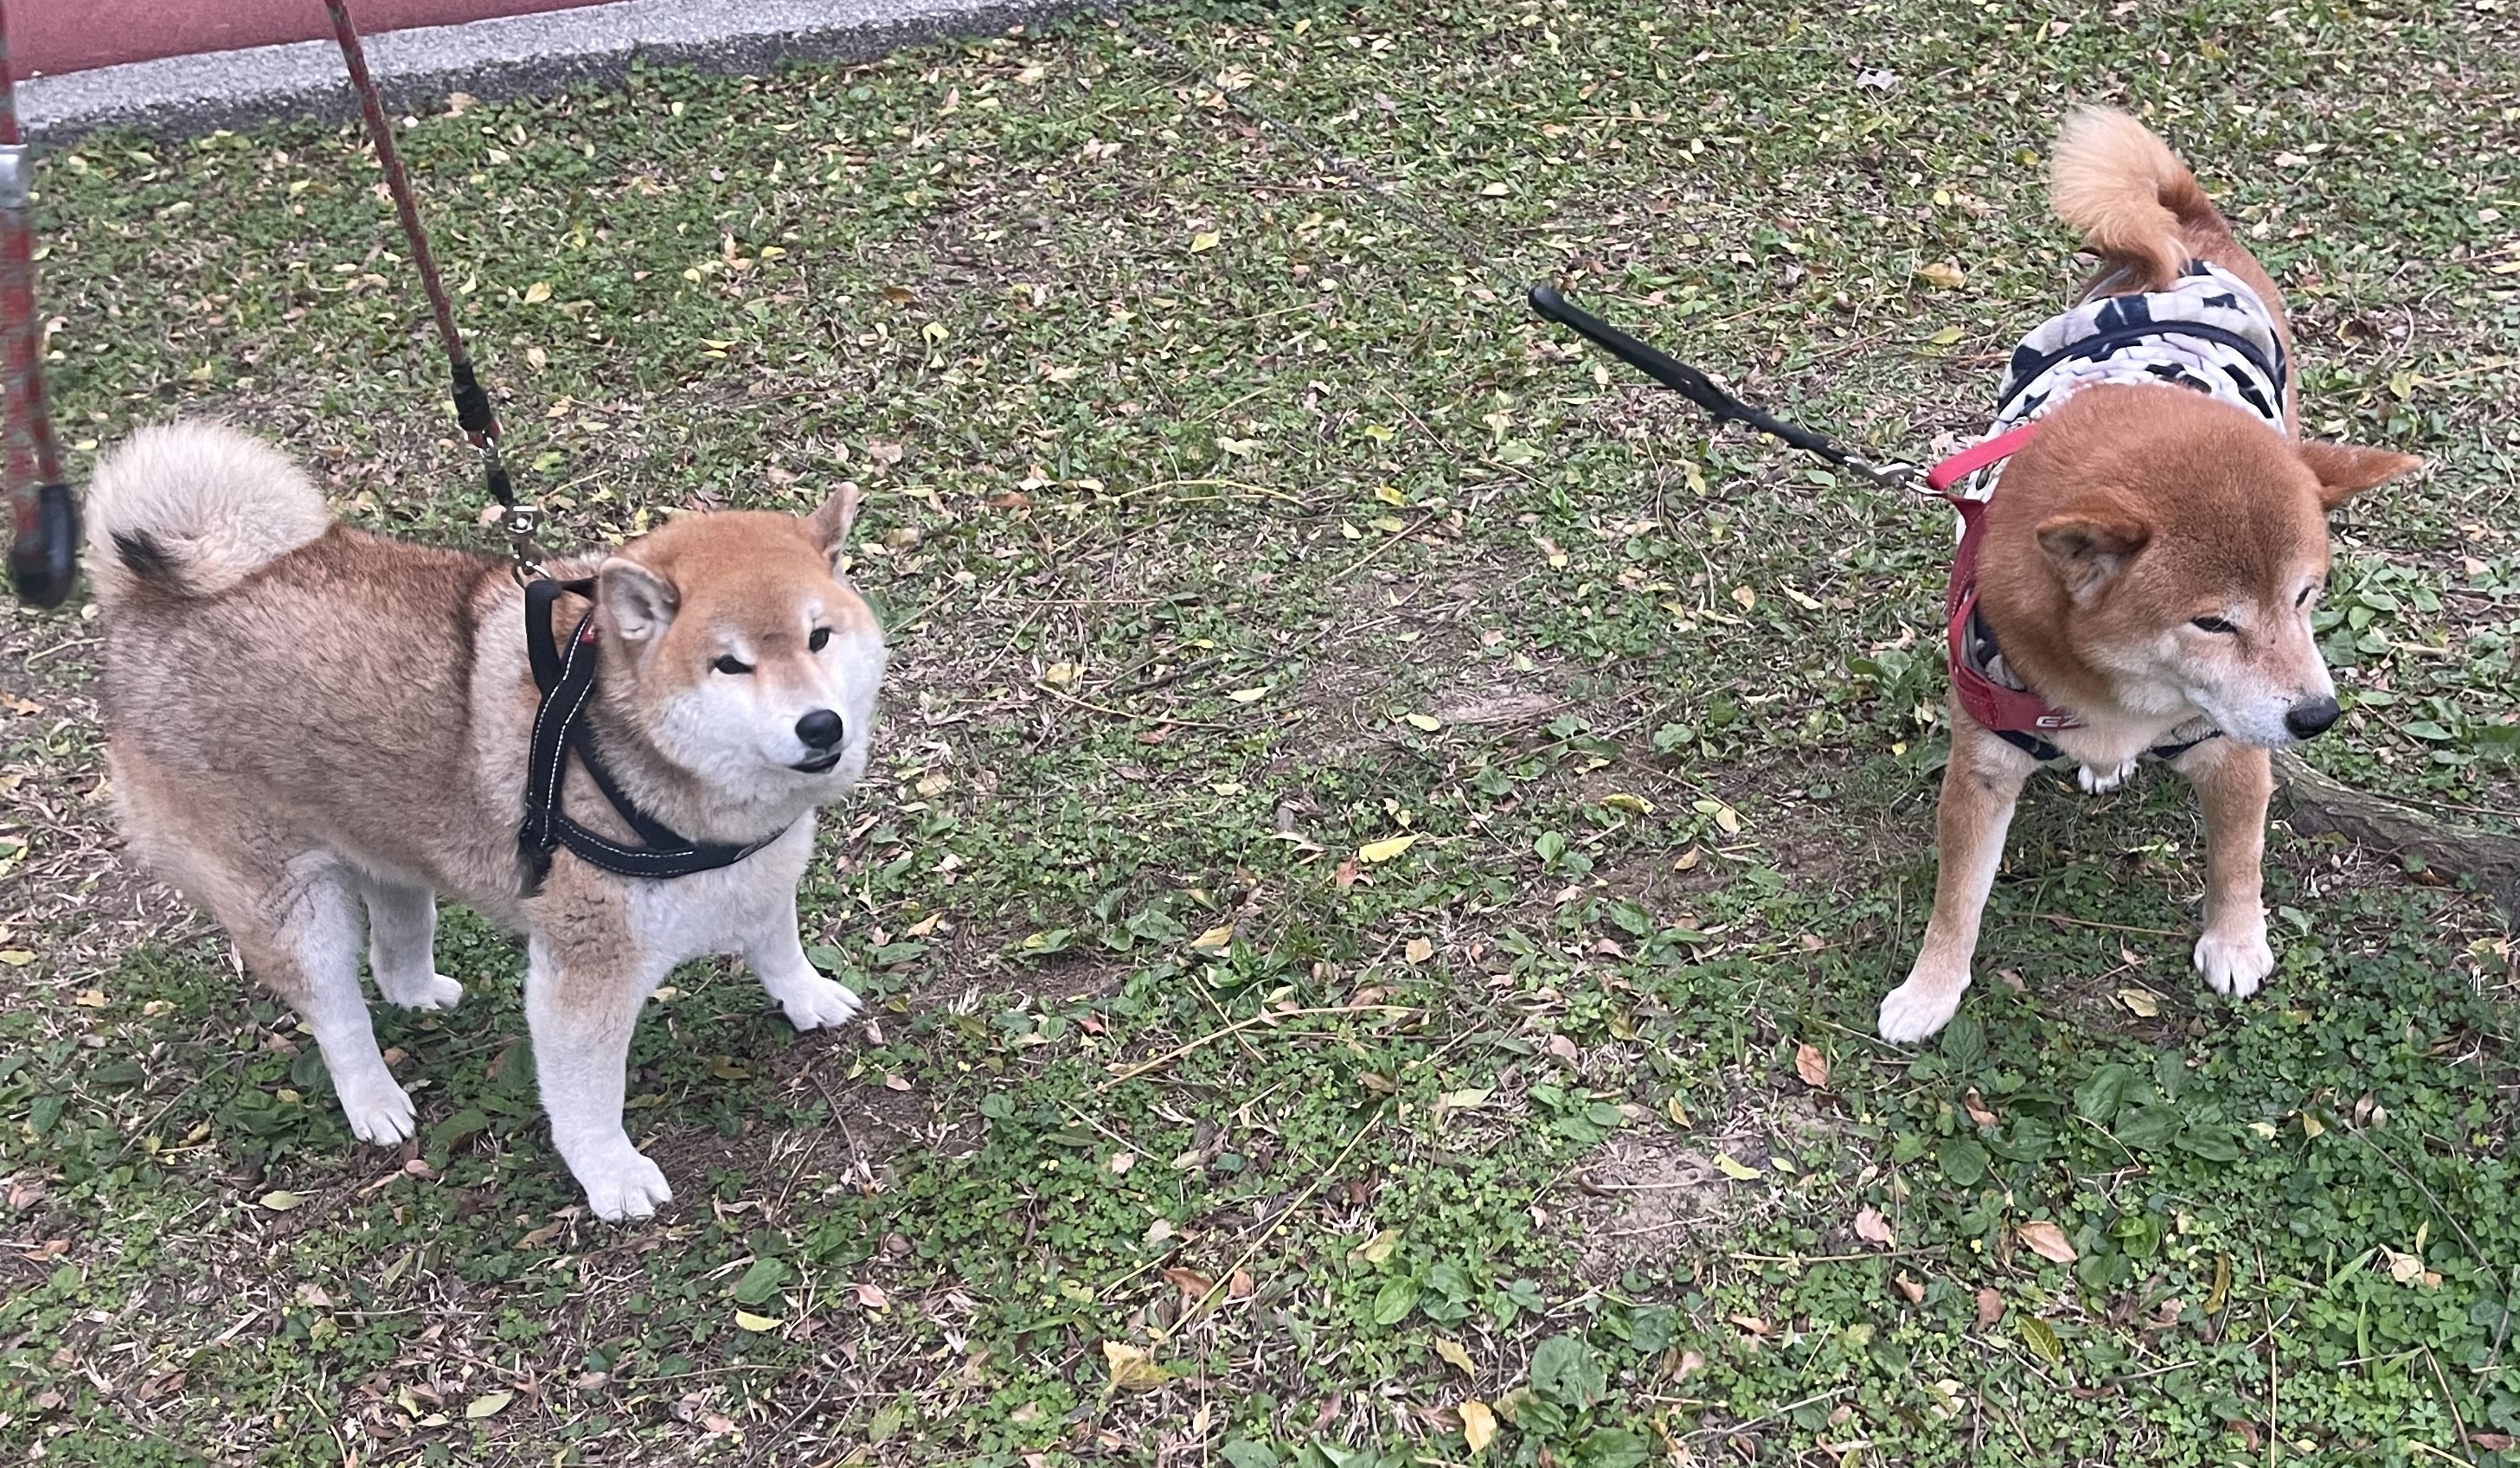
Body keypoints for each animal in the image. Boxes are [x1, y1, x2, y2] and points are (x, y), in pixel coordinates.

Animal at [88, 423, 892, 1218]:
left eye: (819, 637)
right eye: (730, 664)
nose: (821, 725)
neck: (621, 738)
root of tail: (146, 603)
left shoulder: (756, 868)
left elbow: (777, 941)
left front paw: (807, 995)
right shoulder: (586, 965)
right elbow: (587, 1096)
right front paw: (611, 1174)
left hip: (391, 842)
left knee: (394, 943)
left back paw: (418, 991)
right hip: (289, 899)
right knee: (337, 1011)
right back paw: (374, 1098)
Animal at [1875, 106, 2419, 1047]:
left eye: (2305, 596)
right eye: (2213, 621)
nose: (2316, 716)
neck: (2121, 697)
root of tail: (2184, 240)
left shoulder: (2235, 745)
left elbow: (2238, 855)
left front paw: (2235, 941)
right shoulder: (1982, 763)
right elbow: (1957, 897)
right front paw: (1930, 988)